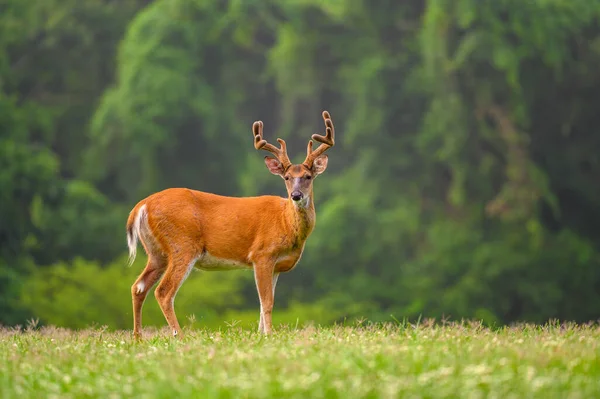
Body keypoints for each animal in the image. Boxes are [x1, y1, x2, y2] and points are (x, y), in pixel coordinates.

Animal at [125, 111, 336, 340]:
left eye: (308, 176)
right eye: (287, 177)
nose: (296, 195)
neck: (285, 222)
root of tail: (142, 206)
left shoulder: (276, 266)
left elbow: (263, 303)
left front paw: (260, 334)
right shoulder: (262, 254)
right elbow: (267, 302)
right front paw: (269, 334)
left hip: (157, 252)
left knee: (138, 287)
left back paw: (138, 338)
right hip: (182, 244)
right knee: (163, 291)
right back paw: (179, 336)